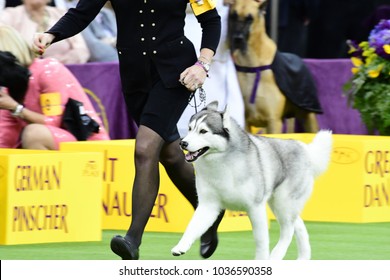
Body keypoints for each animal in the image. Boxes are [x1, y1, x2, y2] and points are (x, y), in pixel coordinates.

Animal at [171, 101, 332, 260]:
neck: (223, 162)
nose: (182, 143)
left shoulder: (255, 207)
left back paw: (276, 255)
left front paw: (261, 260)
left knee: (288, 230)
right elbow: (192, 227)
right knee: (298, 225)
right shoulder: (208, 205)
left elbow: (261, 241)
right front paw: (181, 246)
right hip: (280, 204)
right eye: (190, 129)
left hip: (284, 203)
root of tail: (303, 148)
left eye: (203, 131)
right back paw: (303, 258)